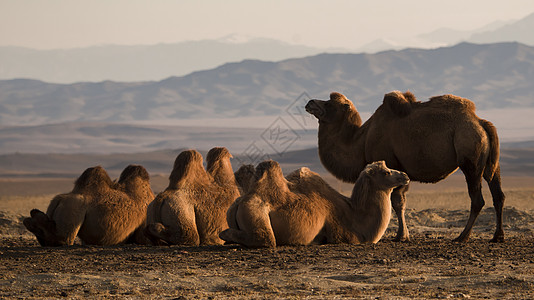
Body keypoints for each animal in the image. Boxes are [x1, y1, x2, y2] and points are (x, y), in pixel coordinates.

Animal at [219, 159, 410, 246]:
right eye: (386, 172)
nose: (405, 175)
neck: (355, 216)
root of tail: (240, 201)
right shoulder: (342, 236)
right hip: (255, 212)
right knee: (265, 239)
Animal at [306, 90, 506, 243]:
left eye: (329, 103)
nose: (310, 102)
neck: (361, 140)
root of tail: (481, 123)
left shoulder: (392, 165)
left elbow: (397, 202)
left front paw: (401, 236)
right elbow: (401, 201)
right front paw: (404, 235)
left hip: (470, 159)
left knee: (477, 199)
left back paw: (462, 237)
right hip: (490, 163)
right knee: (498, 194)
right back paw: (497, 236)